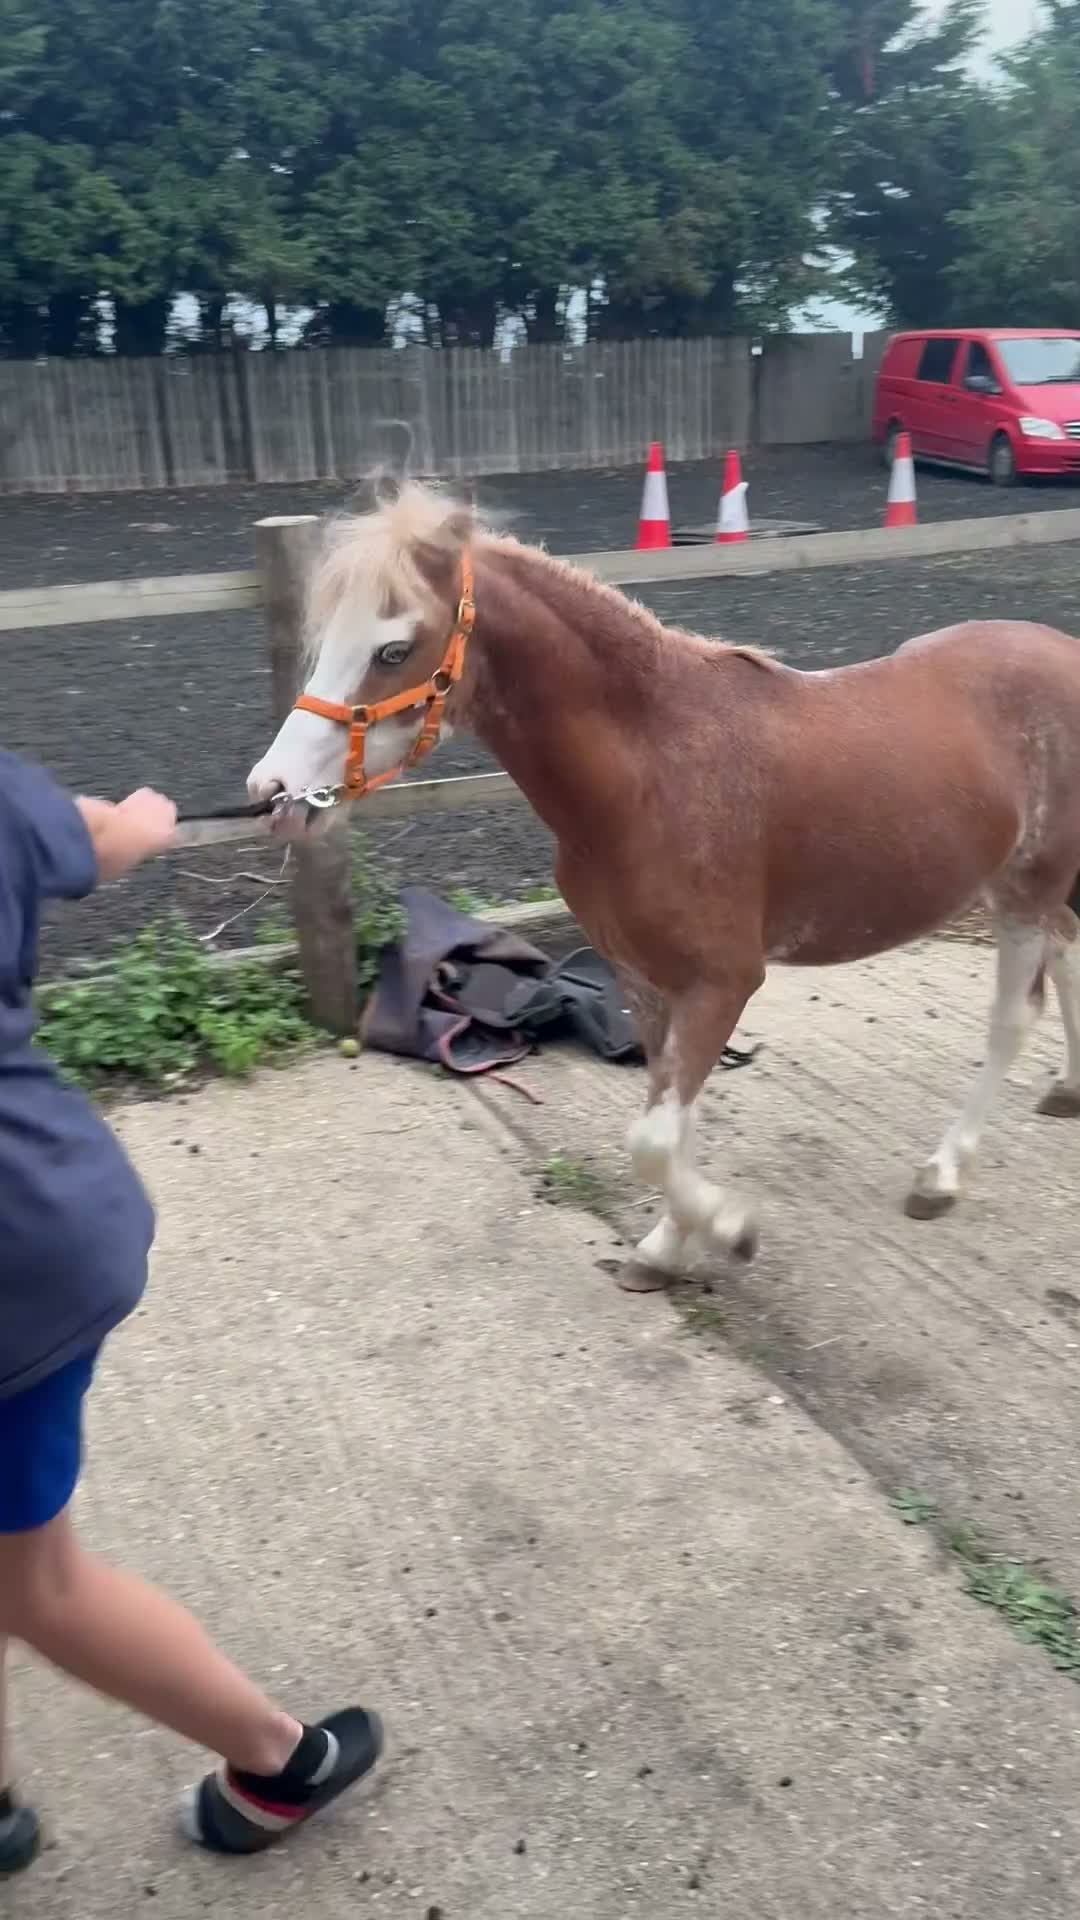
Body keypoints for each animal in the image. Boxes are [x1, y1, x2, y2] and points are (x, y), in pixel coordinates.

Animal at [247, 481, 1080, 1286]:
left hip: (1026, 888)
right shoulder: (646, 981)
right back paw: (1067, 1090)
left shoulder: (723, 982)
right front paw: (670, 1245)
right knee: (1070, 948)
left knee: (1014, 1015)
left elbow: (652, 1137)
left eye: (394, 648)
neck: (652, 770)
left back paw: (942, 1175)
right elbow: (668, 1123)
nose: (274, 792)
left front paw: (730, 1231)